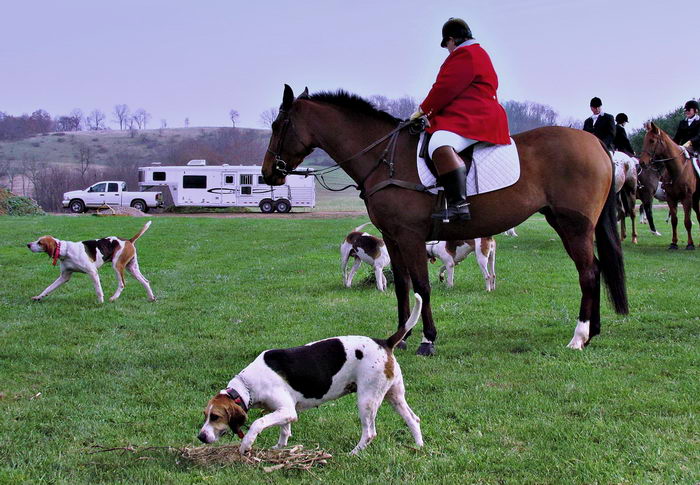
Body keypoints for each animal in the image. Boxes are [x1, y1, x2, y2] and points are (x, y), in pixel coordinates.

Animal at [262, 85, 628, 354]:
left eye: (278, 126)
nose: (269, 172)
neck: (385, 158)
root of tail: (595, 142)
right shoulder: (393, 237)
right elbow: (403, 285)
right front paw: (401, 336)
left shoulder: (410, 236)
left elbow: (422, 286)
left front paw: (427, 339)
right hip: (566, 223)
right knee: (595, 269)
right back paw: (593, 331)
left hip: (574, 226)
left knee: (588, 272)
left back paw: (579, 336)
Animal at [640, 121, 700, 250]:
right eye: (644, 140)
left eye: (652, 140)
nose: (642, 162)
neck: (678, 169)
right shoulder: (671, 198)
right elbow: (674, 220)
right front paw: (673, 243)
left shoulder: (686, 198)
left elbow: (687, 221)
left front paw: (690, 244)